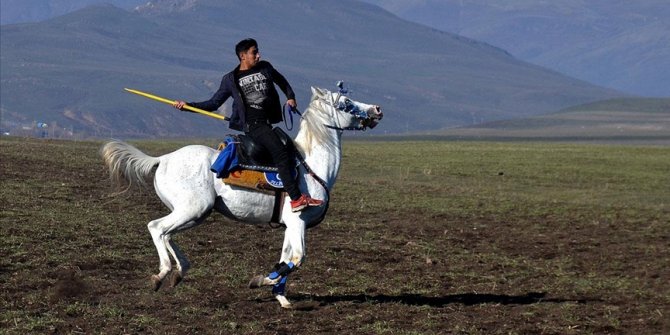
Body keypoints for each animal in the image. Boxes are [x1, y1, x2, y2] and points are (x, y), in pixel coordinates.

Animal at [100, 86, 384, 310]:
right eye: (345, 102)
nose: (377, 109)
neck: (310, 165)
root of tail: (163, 158)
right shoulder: (298, 221)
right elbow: (297, 258)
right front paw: (261, 281)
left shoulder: (289, 226)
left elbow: (285, 257)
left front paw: (281, 298)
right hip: (192, 209)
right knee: (156, 228)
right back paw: (162, 274)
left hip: (196, 213)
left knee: (167, 234)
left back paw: (180, 272)